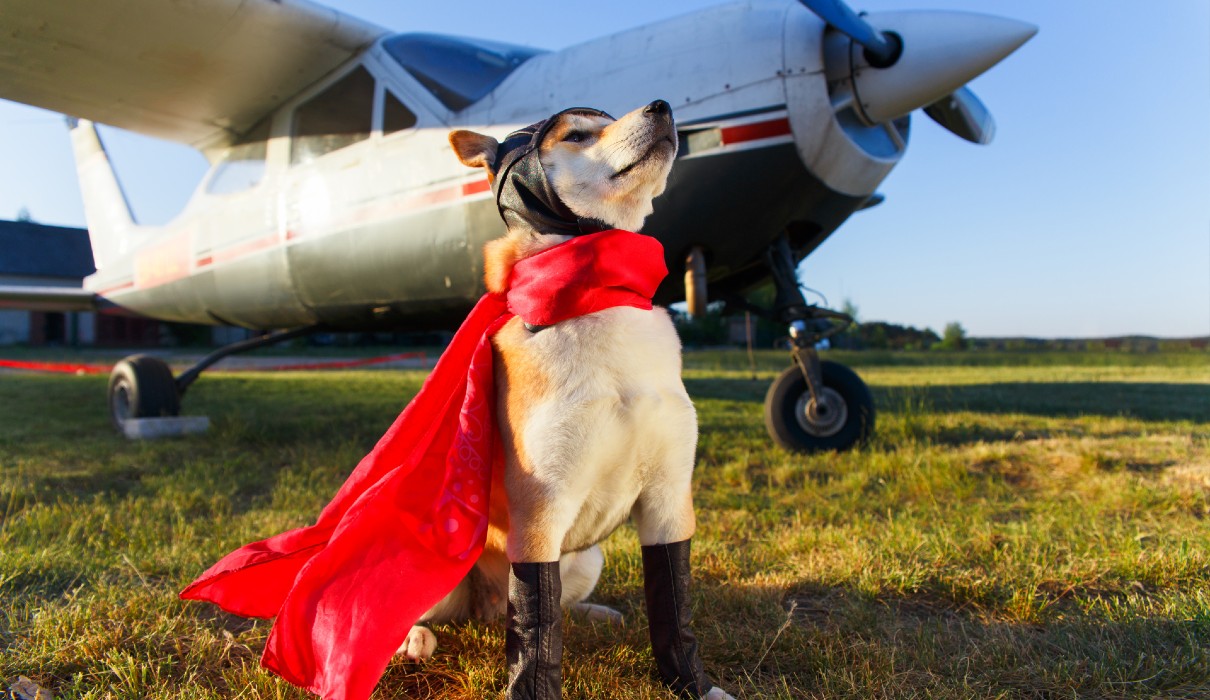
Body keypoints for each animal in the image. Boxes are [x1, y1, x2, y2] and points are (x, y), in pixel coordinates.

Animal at [396, 99, 730, 700]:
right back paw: (413, 639)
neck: (597, 295)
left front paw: (695, 684)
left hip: (586, 556)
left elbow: (675, 608)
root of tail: (482, 610)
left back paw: (597, 614)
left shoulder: (670, 499)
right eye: (577, 135)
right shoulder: (540, 509)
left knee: (549, 610)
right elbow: (537, 630)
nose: (663, 106)